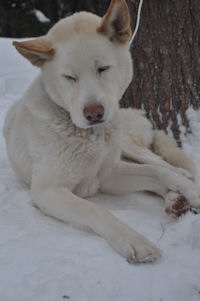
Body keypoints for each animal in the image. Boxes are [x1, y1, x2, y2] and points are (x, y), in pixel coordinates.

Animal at [3, 0, 200, 262]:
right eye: (70, 77)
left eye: (103, 68)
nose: (94, 113)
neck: (91, 138)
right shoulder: (47, 190)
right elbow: (94, 209)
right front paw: (133, 241)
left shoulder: (107, 174)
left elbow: (157, 171)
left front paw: (191, 190)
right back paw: (174, 200)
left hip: (126, 145)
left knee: (159, 162)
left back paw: (182, 184)